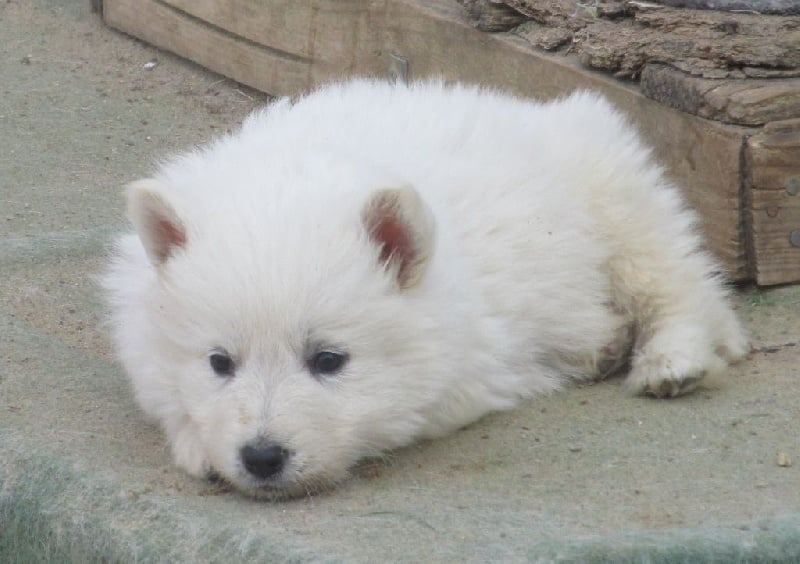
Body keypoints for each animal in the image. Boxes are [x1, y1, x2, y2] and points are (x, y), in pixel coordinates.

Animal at [101, 79, 752, 498]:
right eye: (219, 362)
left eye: (329, 359)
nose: (262, 457)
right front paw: (199, 445)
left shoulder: (469, 356)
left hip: (612, 191)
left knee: (672, 274)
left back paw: (669, 361)